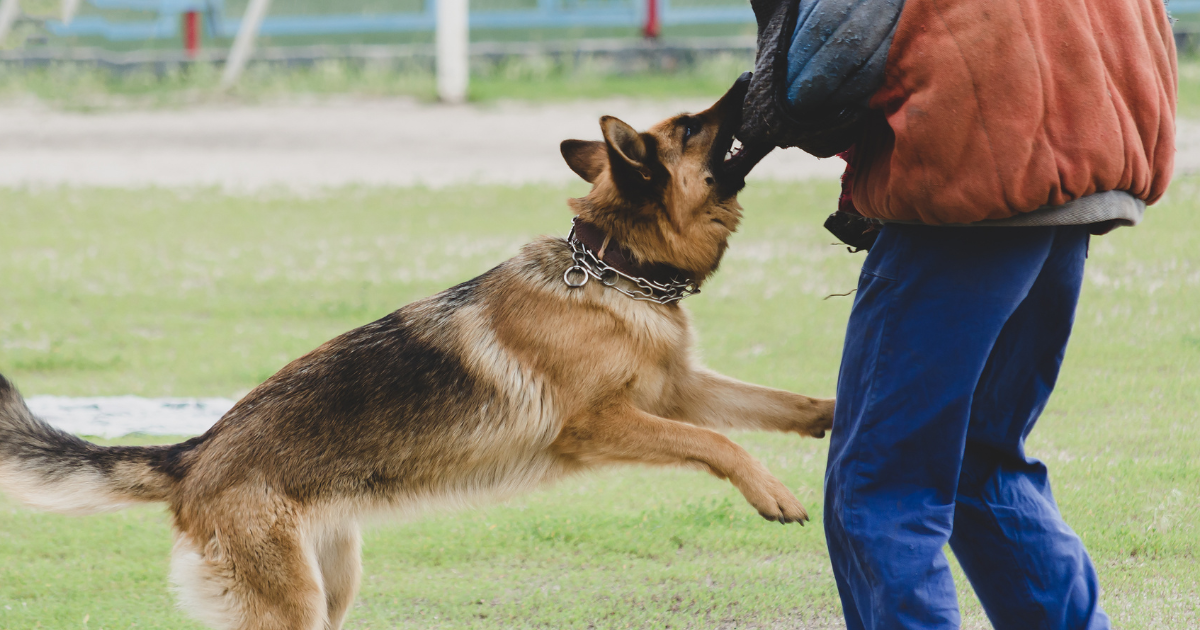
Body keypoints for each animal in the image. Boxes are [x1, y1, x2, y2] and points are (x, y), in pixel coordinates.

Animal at [0, 75, 835, 628]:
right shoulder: (602, 425)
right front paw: (774, 492)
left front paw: (830, 415)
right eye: (694, 126)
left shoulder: (679, 389)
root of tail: (193, 452)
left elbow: (773, 406)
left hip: (332, 584)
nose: (749, 80)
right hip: (292, 604)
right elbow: (719, 442)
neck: (609, 267)